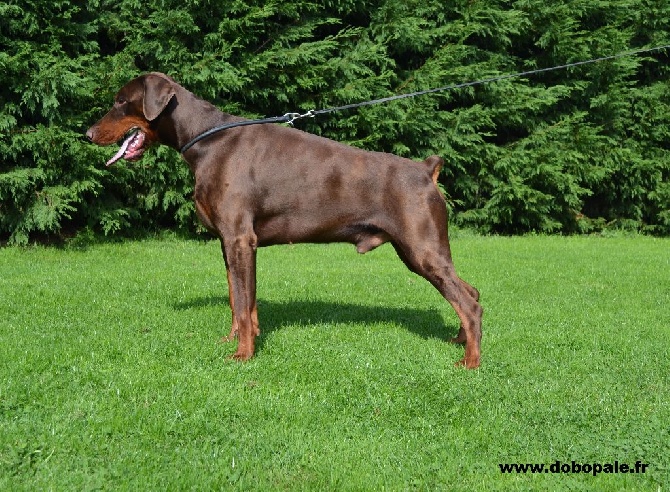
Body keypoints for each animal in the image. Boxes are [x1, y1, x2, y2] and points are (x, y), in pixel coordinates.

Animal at [86, 71, 486, 368]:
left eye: (120, 101)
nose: (87, 134)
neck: (206, 140)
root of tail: (426, 170)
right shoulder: (228, 243)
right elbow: (240, 300)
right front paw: (235, 339)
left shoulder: (240, 238)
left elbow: (243, 303)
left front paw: (243, 355)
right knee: (471, 291)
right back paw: (460, 340)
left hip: (421, 247)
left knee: (469, 303)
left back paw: (470, 361)